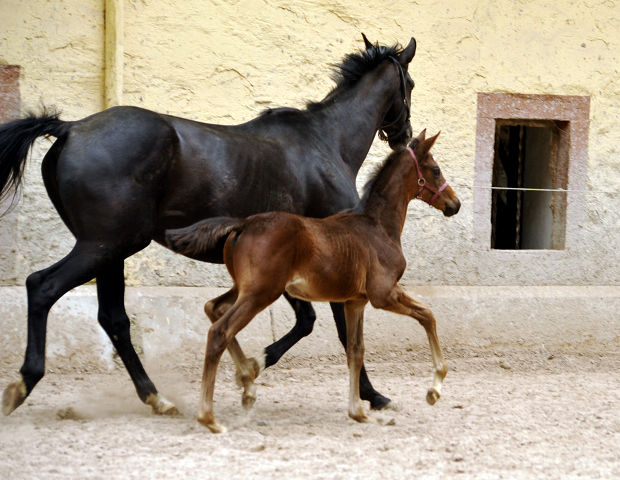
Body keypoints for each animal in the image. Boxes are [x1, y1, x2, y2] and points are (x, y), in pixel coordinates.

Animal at [1, 34, 416, 416]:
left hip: (110, 250)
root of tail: (70, 129)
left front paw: (253, 367)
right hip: (106, 244)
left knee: (114, 318)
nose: (405, 137)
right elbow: (343, 330)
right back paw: (23, 384)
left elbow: (307, 320)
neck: (325, 143)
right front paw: (371, 394)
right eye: (409, 84)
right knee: (43, 287)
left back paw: (156, 398)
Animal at [165, 129, 460, 434]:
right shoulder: (383, 294)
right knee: (219, 331)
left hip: (244, 288)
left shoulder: (356, 301)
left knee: (214, 307)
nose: (455, 204)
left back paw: (247, 377)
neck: (378, 227)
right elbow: (428, 315)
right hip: (261, 292)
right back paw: (210, 416)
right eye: (435, 170)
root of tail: (243, 224)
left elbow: (355, 350)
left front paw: (358, 411)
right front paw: (434, 390)